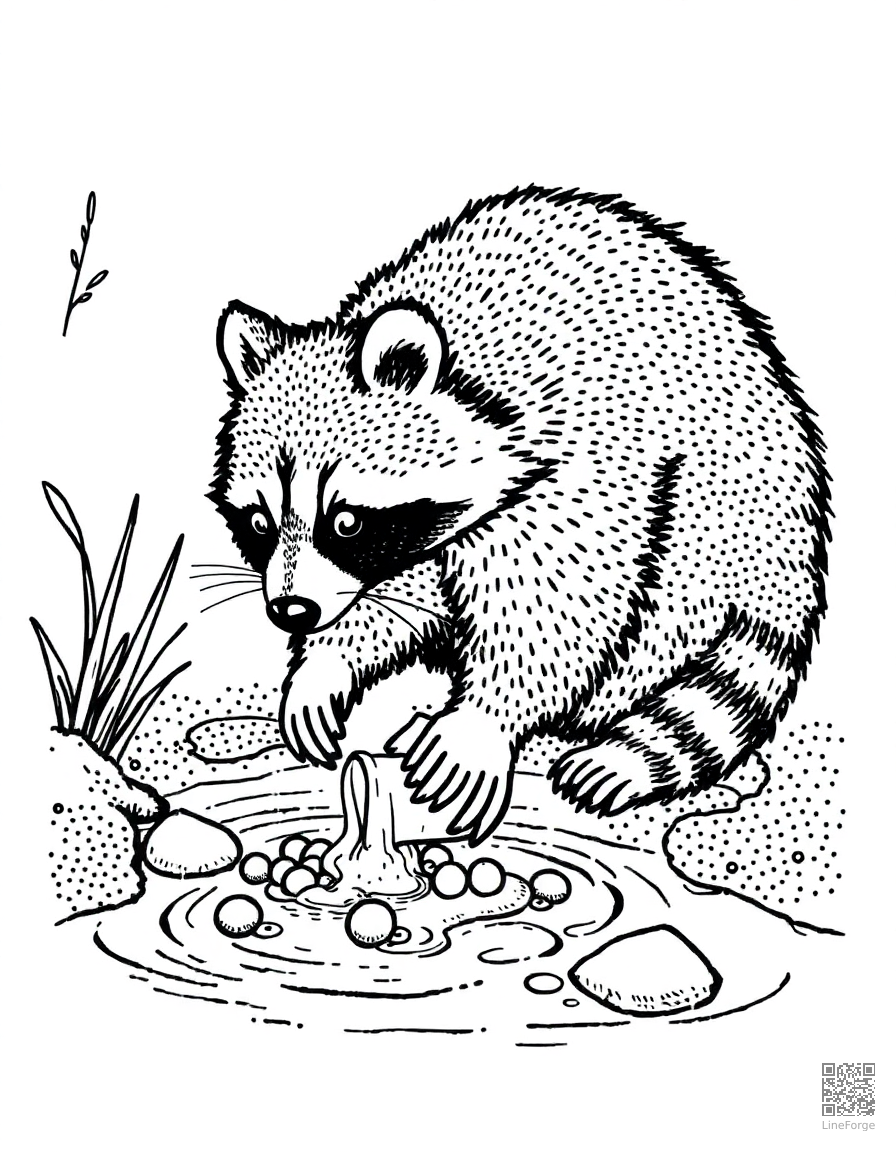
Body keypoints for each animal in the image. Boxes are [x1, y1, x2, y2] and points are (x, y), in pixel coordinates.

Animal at [210, 186, 829, 845]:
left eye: (347, 522)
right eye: (259, 522)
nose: (291, 611)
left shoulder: (584, 459)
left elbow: (562, 607)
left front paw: (485, 718)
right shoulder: (425, 537)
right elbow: (399, 596)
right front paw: (327, 663)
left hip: (719, 525)